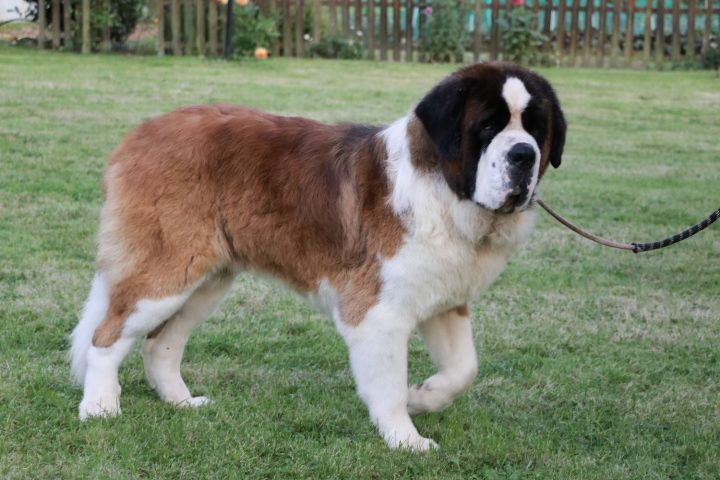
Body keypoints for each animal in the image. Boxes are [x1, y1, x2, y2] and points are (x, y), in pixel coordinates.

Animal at [70, 61, 564, 450]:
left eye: (536, 128)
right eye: (488, 128)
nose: (523, 155)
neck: (443, 189)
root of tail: (140, 133)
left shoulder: (446, 299)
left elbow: (464, 369)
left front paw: (423, 396)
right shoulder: (377, 312)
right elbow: (389, 385)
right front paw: (405, 439)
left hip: (207, 280)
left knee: (161, 344)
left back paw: (181, 402)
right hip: (168, 273)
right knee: (106, 334)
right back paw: (99, 407)